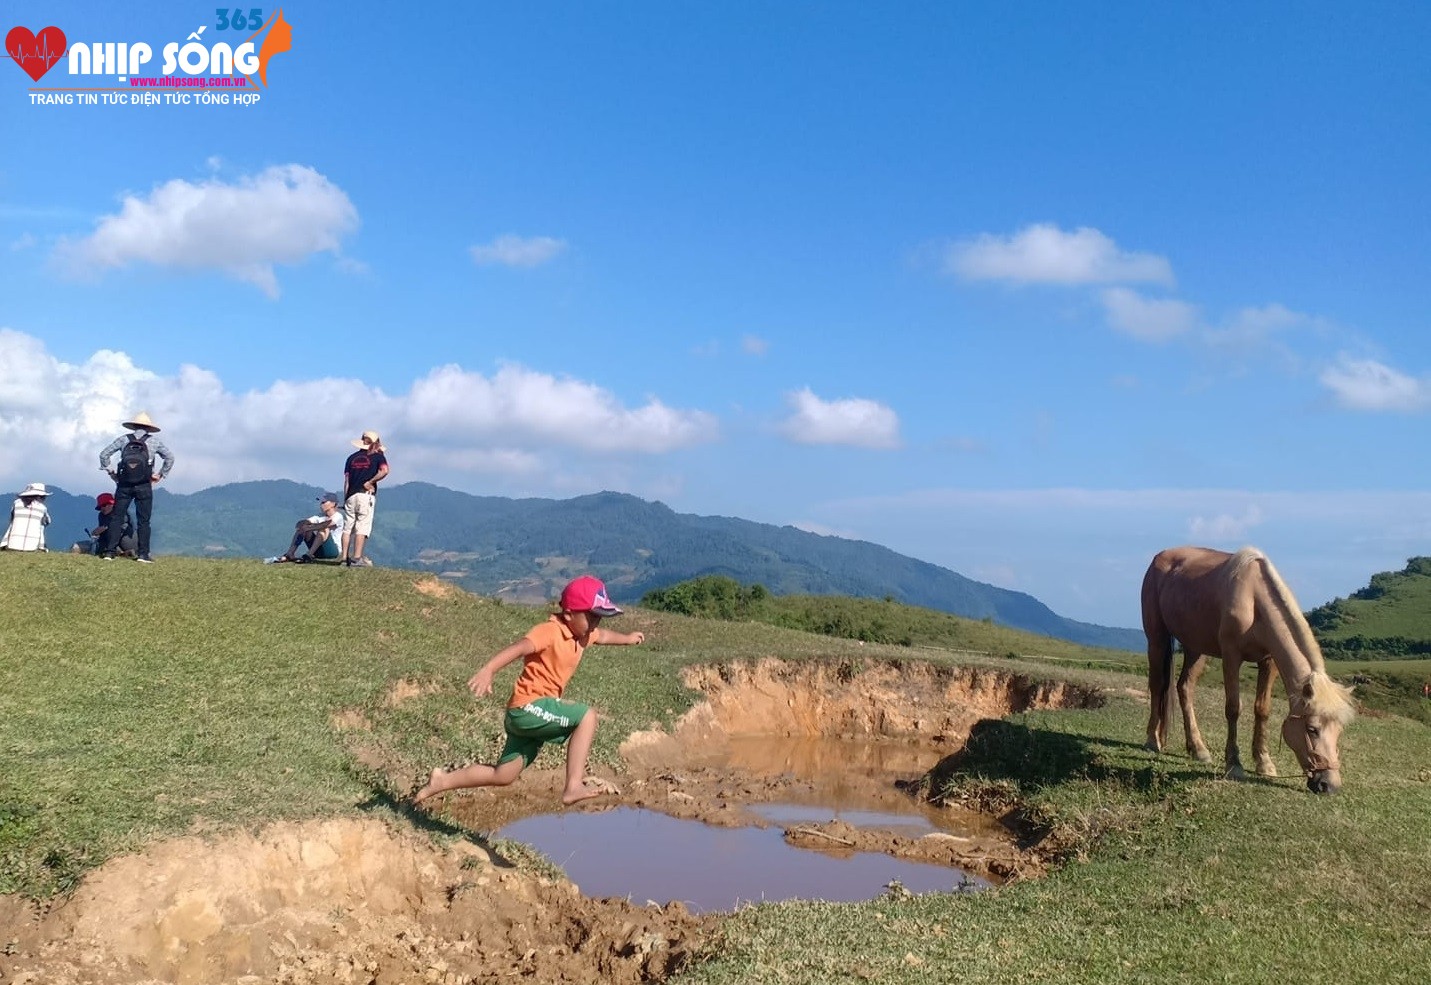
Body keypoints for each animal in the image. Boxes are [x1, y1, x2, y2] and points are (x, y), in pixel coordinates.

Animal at [1139, 546, 1350, 790]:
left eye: (1339, 731)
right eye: (1312, 729)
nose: (1329, 785)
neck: (1254, 599)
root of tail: (1160, 557)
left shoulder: (1269, 662)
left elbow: (1262, 709)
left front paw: (1264, 763)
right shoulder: (1232, 657)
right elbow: (1233, 708)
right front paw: (1234, 764)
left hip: (1196, 648)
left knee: (1185, 688)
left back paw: (1198, 749)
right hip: (1157, 638)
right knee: (1157, 686)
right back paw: (1152, 740)